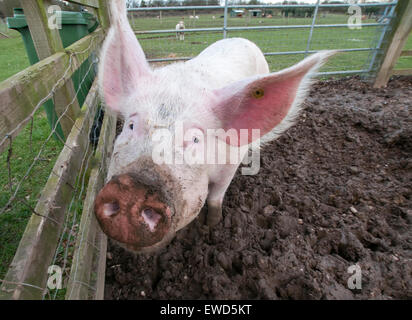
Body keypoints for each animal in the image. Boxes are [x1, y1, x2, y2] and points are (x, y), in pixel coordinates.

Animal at [94, 0, 334, 255]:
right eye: (131, 125)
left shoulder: (229, 166)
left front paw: (212, 225)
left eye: (195, 139)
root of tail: (240, 38)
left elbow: (215, 198)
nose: (133, 189)